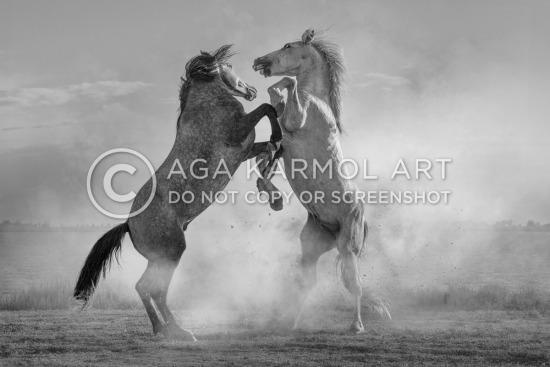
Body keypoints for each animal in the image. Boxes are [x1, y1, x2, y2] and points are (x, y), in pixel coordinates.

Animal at [75, 46, 282, 342]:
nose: (251, 89)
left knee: (143, 287)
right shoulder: (237, 134)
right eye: (230, 66)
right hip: (172, 252)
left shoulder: (244, 150)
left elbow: (269, 147)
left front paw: (275, 193)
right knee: (155, 289)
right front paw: (276, 135)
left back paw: (162, 329)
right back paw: (178, 331)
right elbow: (266, 109)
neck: (206, 107)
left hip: (159, 258)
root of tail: (128, 224)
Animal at [254, 29, 388, 334]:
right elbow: (264, 160)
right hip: (311, 247)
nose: (258, 61)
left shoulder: (295, 120)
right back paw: (290, 323)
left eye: (288, 45)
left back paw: (356, 326)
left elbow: (286, 84)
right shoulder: (282, 142)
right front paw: (272, 195)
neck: (314, 97)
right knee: (307, 284)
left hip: (347, 247)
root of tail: (361, 217)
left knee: (355, 285)